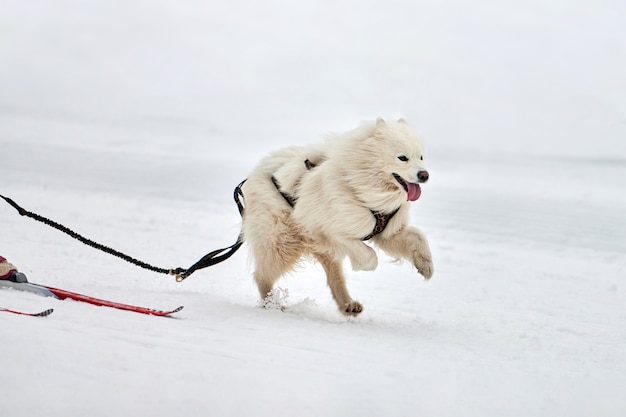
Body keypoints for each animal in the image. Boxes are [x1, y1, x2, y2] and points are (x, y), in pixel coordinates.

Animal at [241, 117, 432, 316]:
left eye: (421, 157)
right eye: (402, 157)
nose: (424, 175)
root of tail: (258, 171)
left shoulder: (387, 232)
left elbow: (417, 235)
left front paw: (425, 265)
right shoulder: (330, 231)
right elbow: (368, 254)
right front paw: (364, 265)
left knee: (334, 275)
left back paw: (348, 304)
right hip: (283, 243)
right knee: (262, 275)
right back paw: (272, 304)